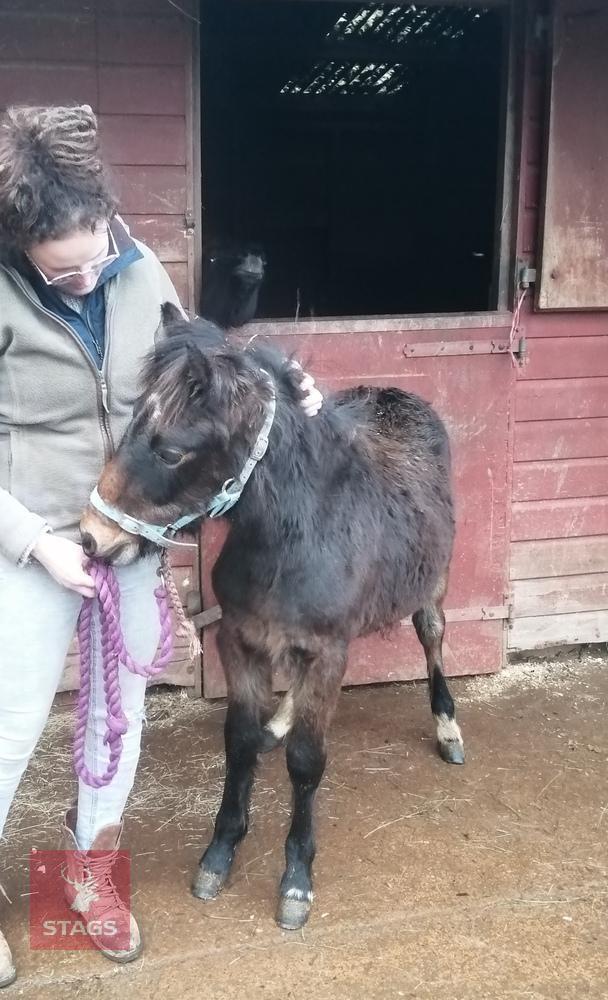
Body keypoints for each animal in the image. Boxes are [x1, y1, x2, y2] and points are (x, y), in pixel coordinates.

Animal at [80, 303, 465, 930]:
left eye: (170, 450)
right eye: (133, 423)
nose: (91, 538)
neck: (295, 536)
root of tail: (394, 393)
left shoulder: (328, 649)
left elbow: (307, 762)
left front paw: (297, 880)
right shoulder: (239, 638)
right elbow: (238, 741)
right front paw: (219, 853)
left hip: (433, 583)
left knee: (432, 638)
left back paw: (448, 728)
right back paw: (278, 723)